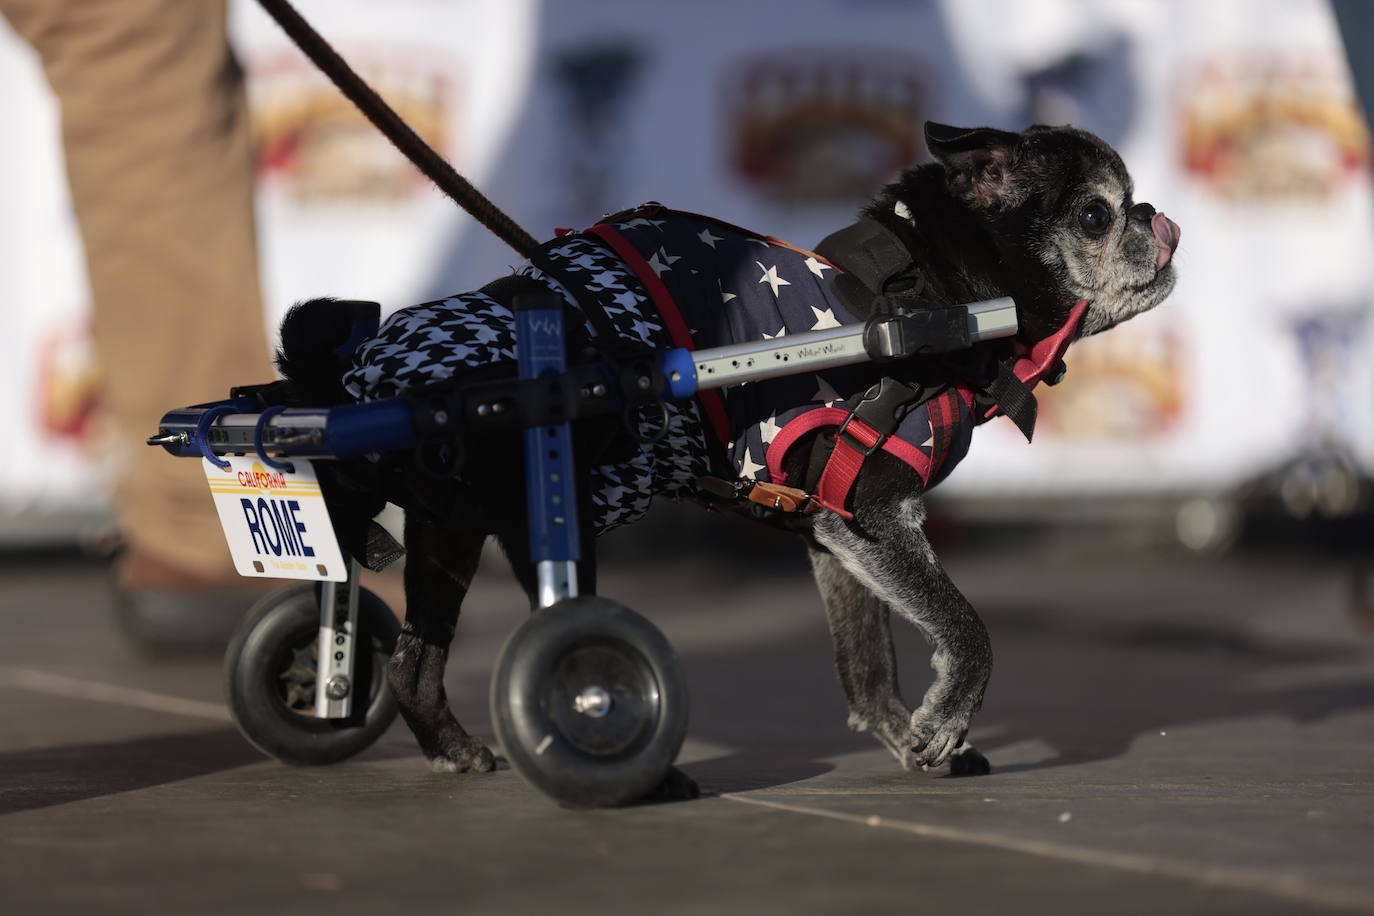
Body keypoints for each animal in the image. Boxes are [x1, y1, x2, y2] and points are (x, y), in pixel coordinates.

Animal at [273, 121, 1176, 796]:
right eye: (1095, 216)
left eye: (1125, 205)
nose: (1153, 214)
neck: (935, 301)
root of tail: (359, 381)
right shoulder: (879, 518)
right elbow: (967, 626)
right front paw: (947, 717)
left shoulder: (837, 535)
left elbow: (866, 668)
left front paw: (915, 744)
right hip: (548, 523)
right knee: (563, 646)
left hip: (447, 537)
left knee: (412, 665)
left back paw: (433, 740)